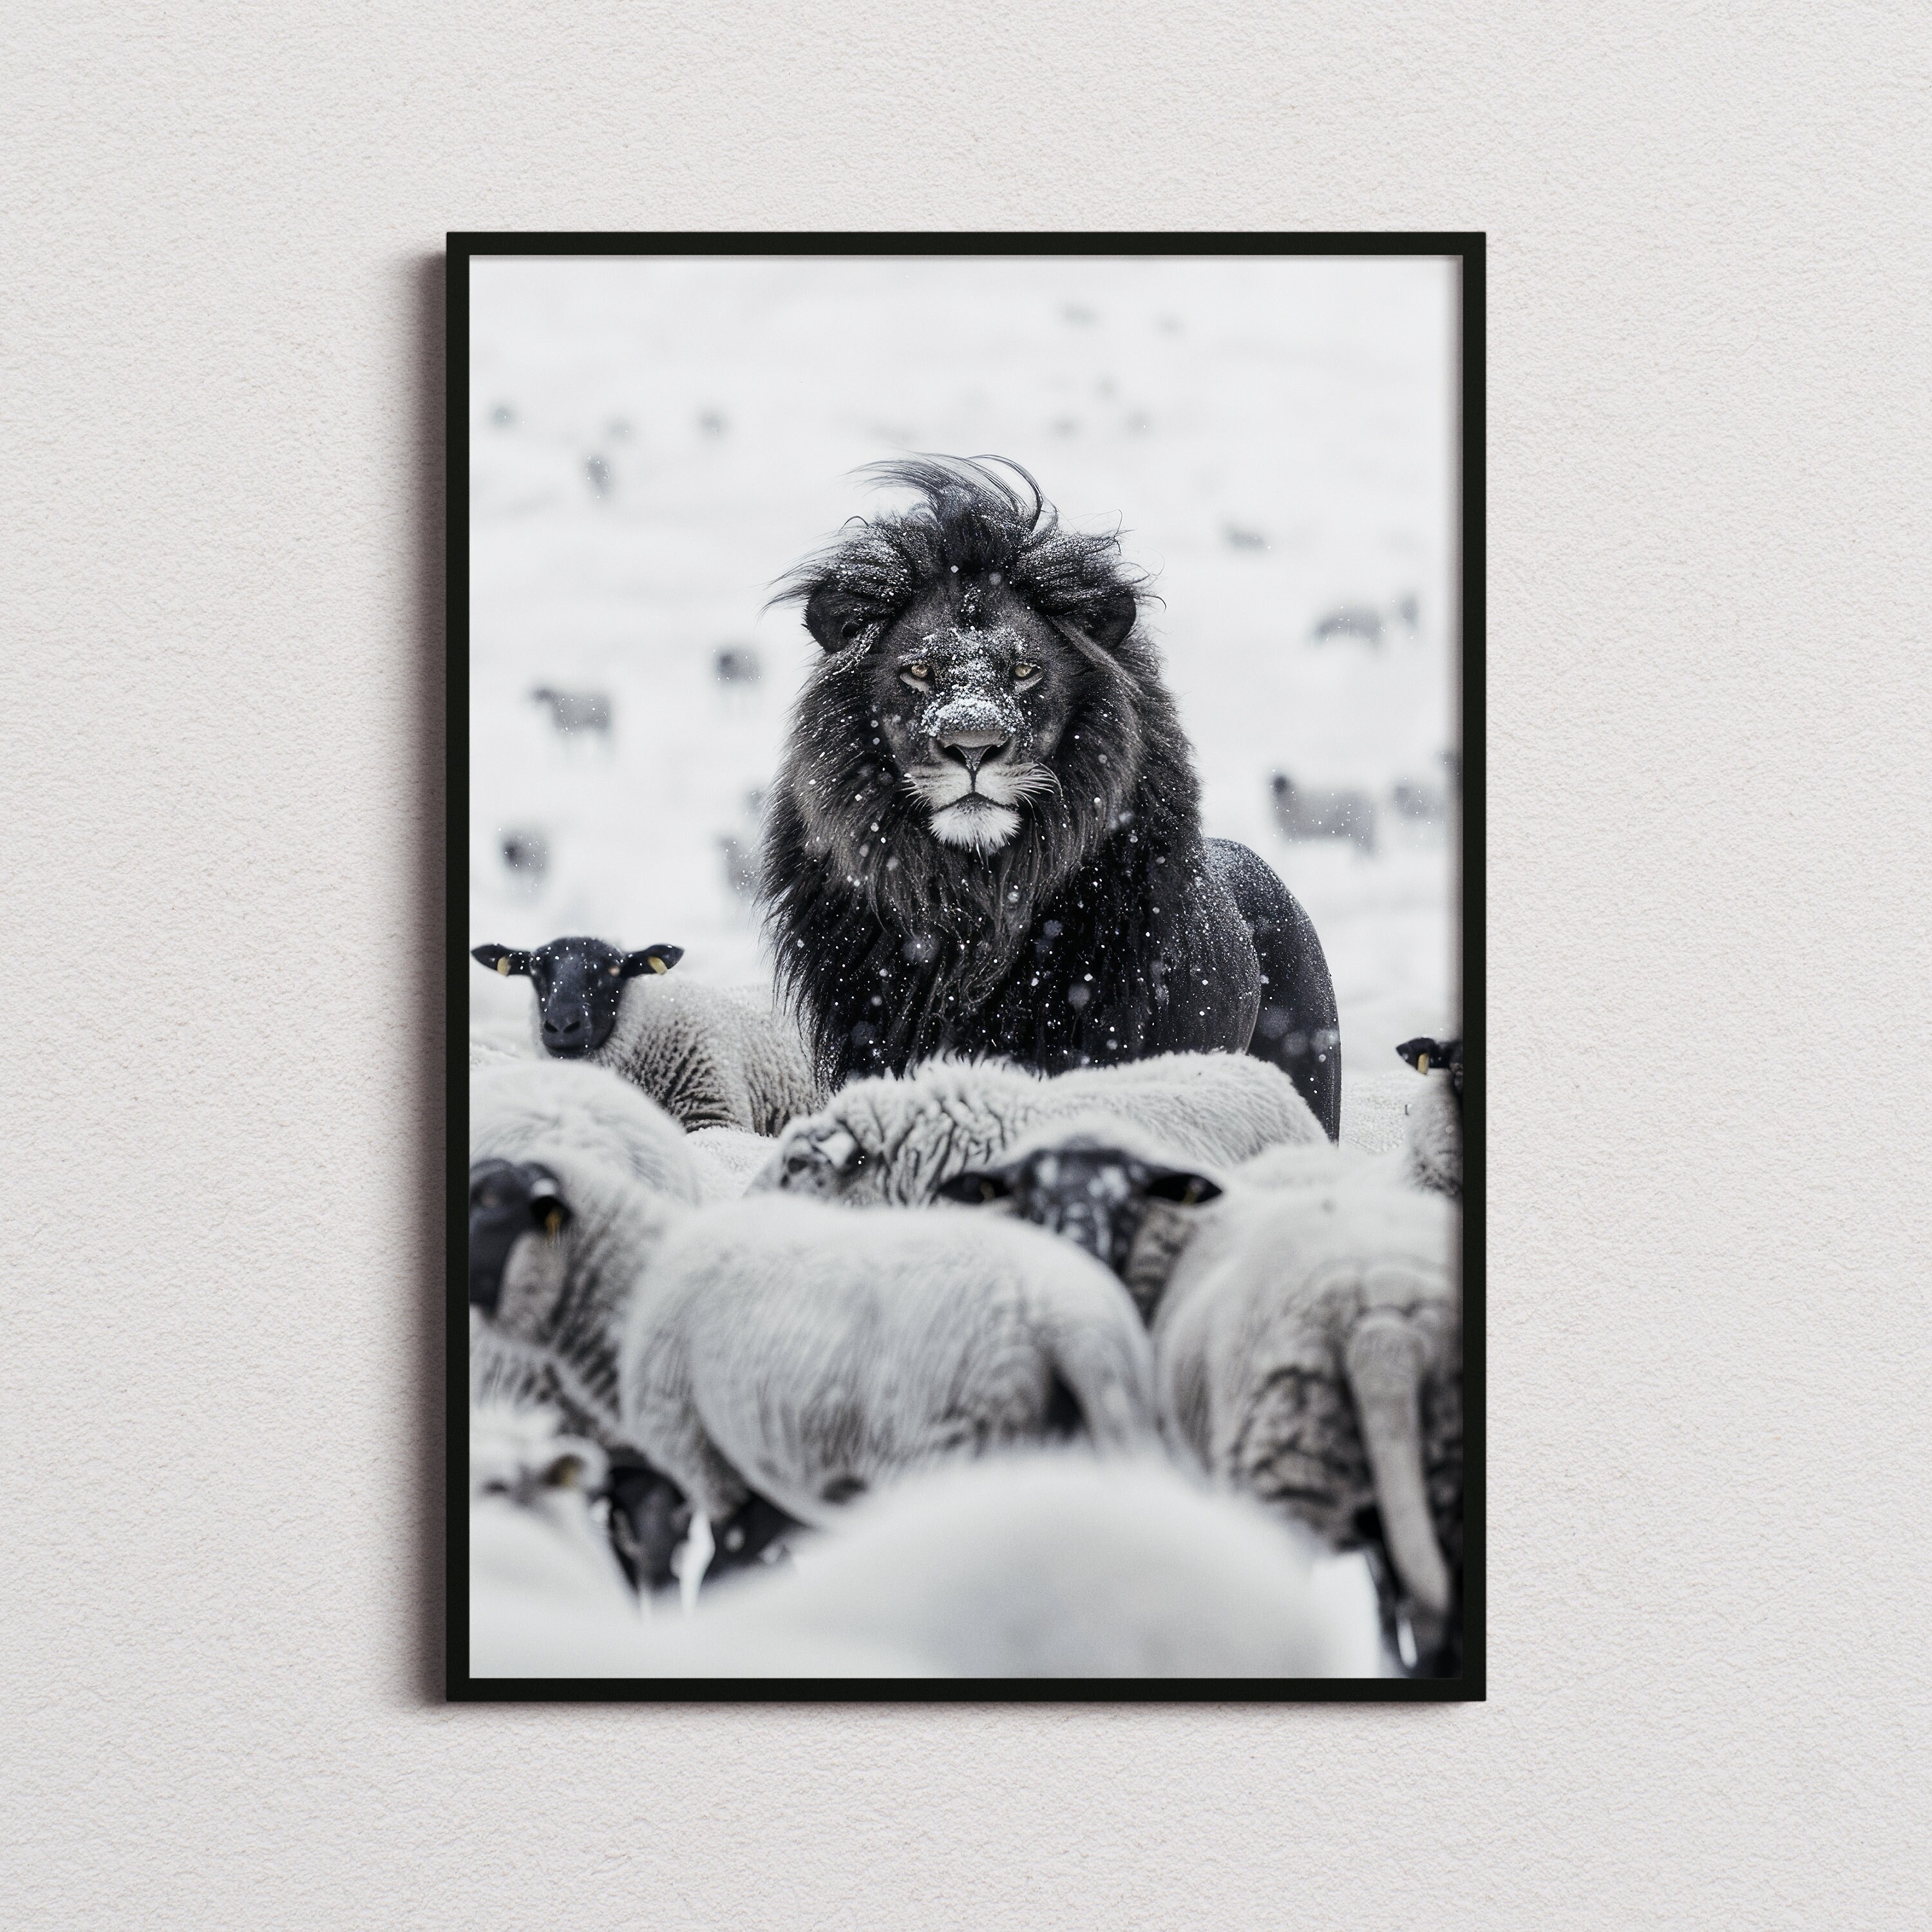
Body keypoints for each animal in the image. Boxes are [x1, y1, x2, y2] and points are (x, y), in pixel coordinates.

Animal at [466, 1148, 1158, 1575]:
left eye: (491, 1202)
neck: (634, 1284)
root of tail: (1065, 1315)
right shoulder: (780, 1493)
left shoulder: (711, 1468)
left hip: (947, 1455)